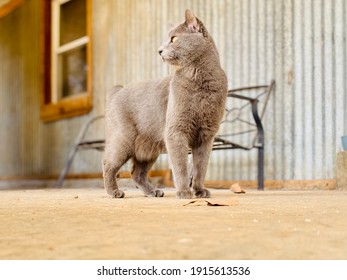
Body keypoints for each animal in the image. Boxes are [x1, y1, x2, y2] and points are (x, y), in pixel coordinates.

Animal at [103, 9, 228, 198]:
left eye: (174, 39)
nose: (159, 50)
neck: (200, 80)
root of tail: (117, 90)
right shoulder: (175, 131)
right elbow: (181, 166)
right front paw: (184, 192)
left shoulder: (206, 136)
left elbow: (200, 167)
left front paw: (199, 190)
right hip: (123, 139)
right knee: (108, 164)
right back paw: (114, 192)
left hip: (147, 147)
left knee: (136, 173)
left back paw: (152, 192)